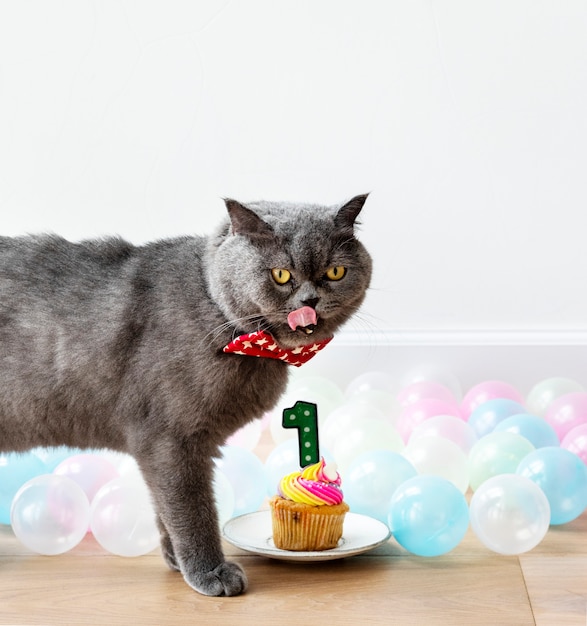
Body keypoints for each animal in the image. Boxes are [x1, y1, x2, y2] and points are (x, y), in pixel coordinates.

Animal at [0, 193, 372, 592]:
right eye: (281, 275)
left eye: (335, 272)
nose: (310, 301)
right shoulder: (171, 439)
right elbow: (191, 510)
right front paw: (210, 571)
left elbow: (165, 506)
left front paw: (176, 560)